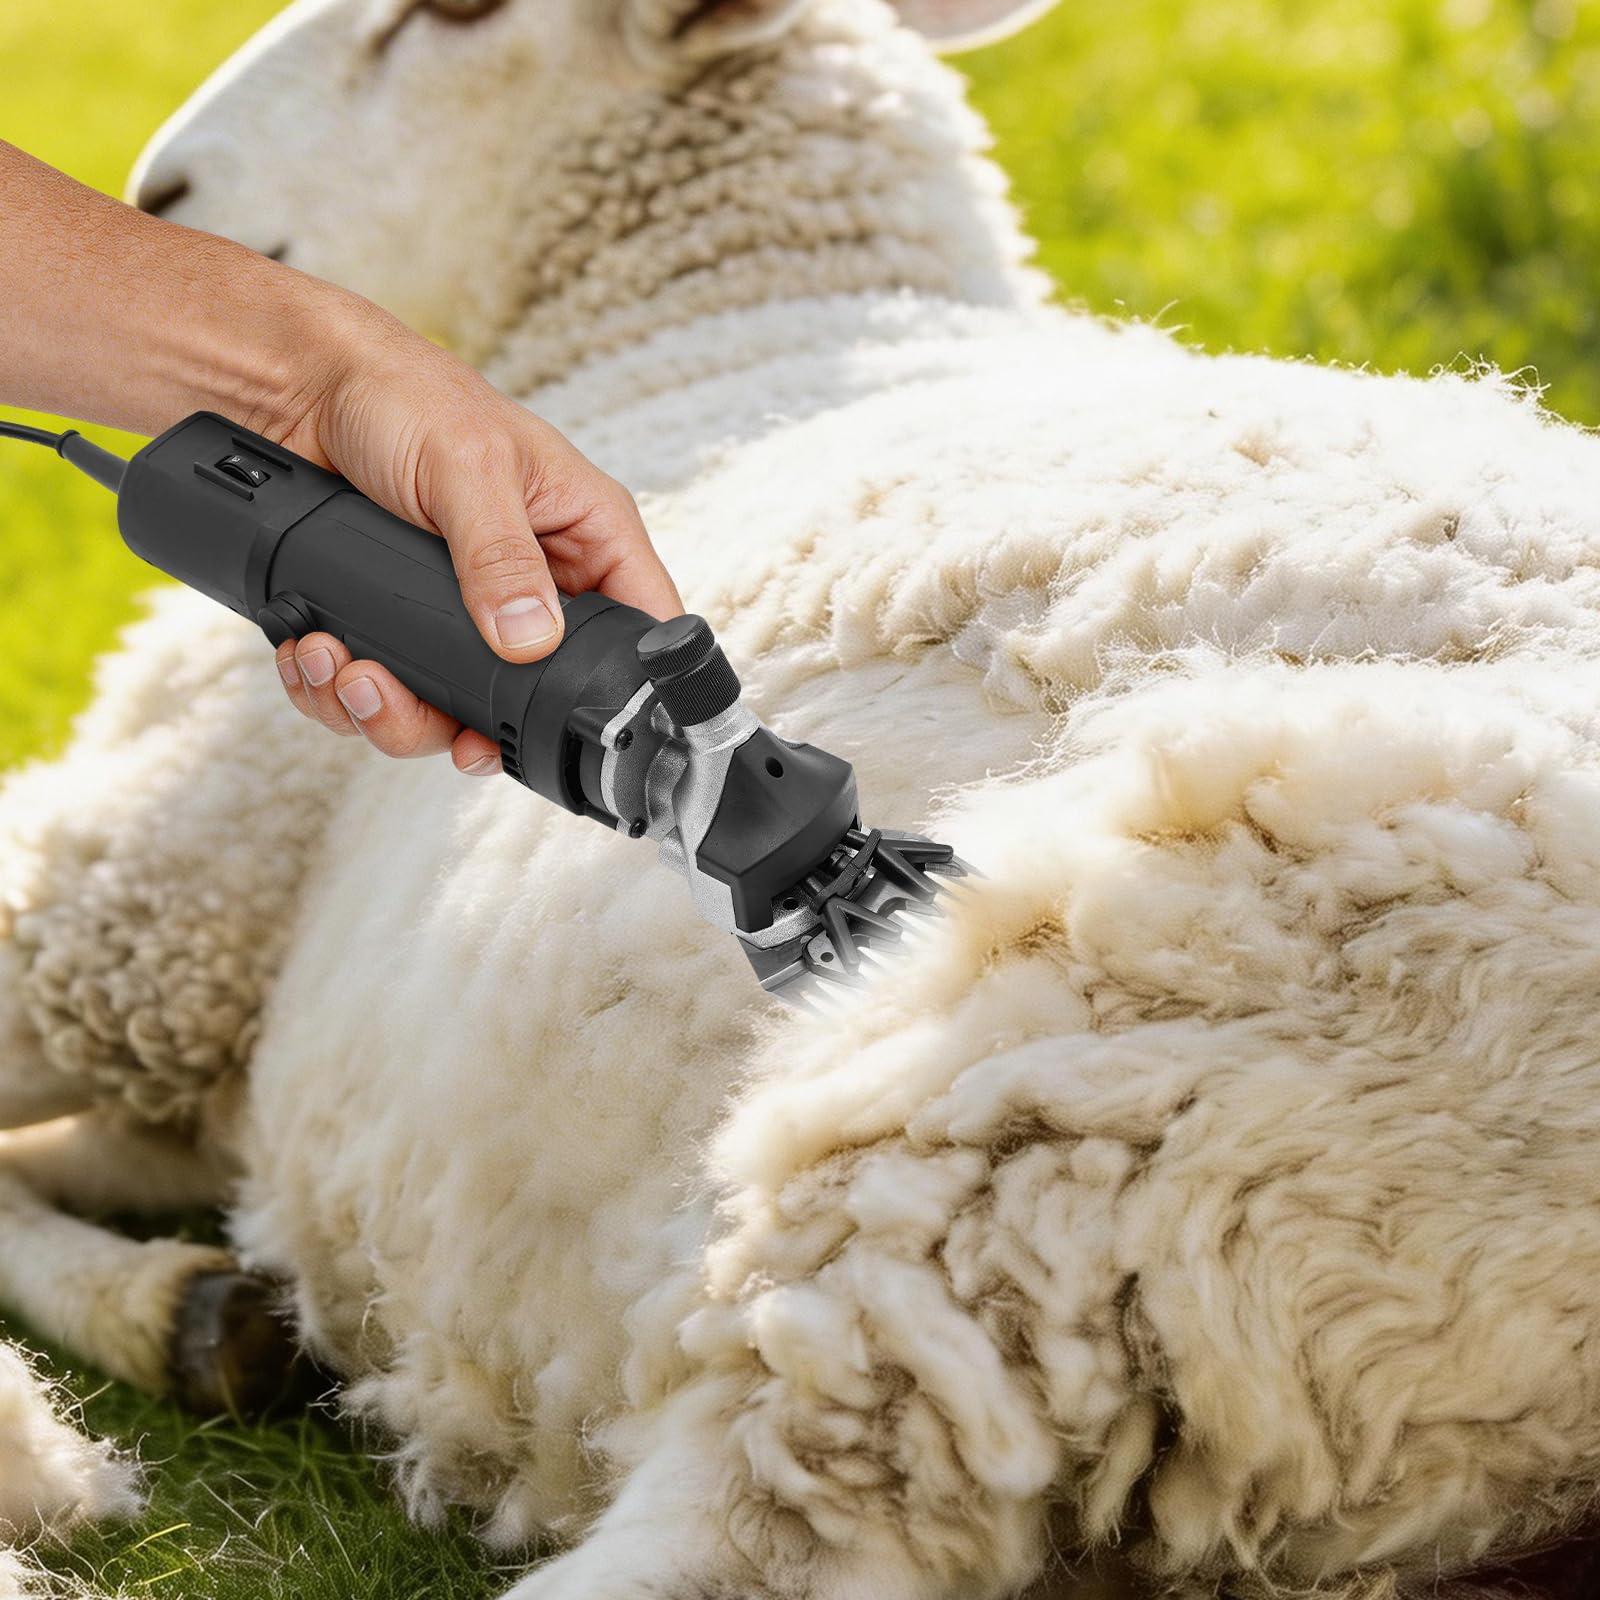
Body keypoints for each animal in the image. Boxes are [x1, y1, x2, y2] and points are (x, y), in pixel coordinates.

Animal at [2, 1, 1600, 1597]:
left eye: (449, 17)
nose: (161, 195)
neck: (740, 316)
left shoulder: (159, 869)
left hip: (1028, 1134)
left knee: (741, 1530)